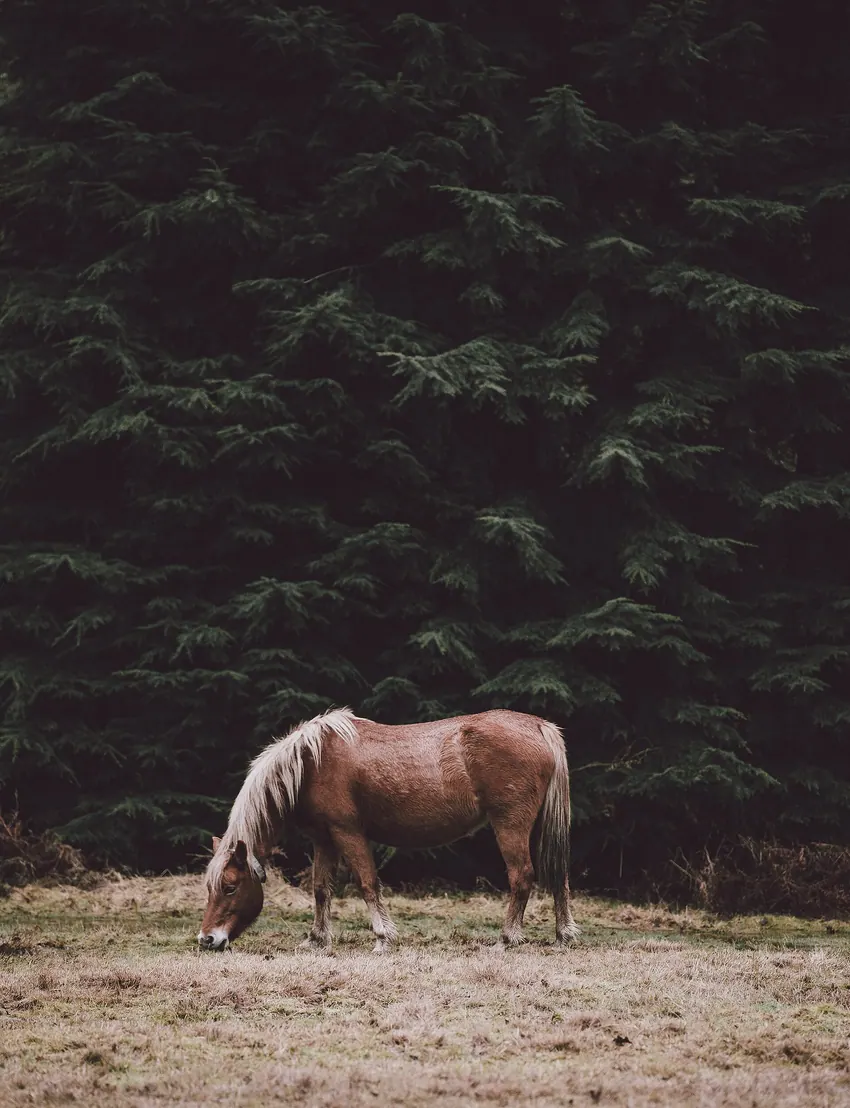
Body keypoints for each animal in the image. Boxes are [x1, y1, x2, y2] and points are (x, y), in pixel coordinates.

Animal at [198, 706, 579, 952]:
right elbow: (321, 889)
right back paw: (563, 935)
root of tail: (538, 726)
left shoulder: (348, 833)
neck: (311, 763)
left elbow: (368, 883)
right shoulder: (324, 839)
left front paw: (382, 938)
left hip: (510, 824)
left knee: (522, 877)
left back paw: (505, 939)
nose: (207, 940)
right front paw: (317, 939)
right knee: (558, 875)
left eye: (230, 887)